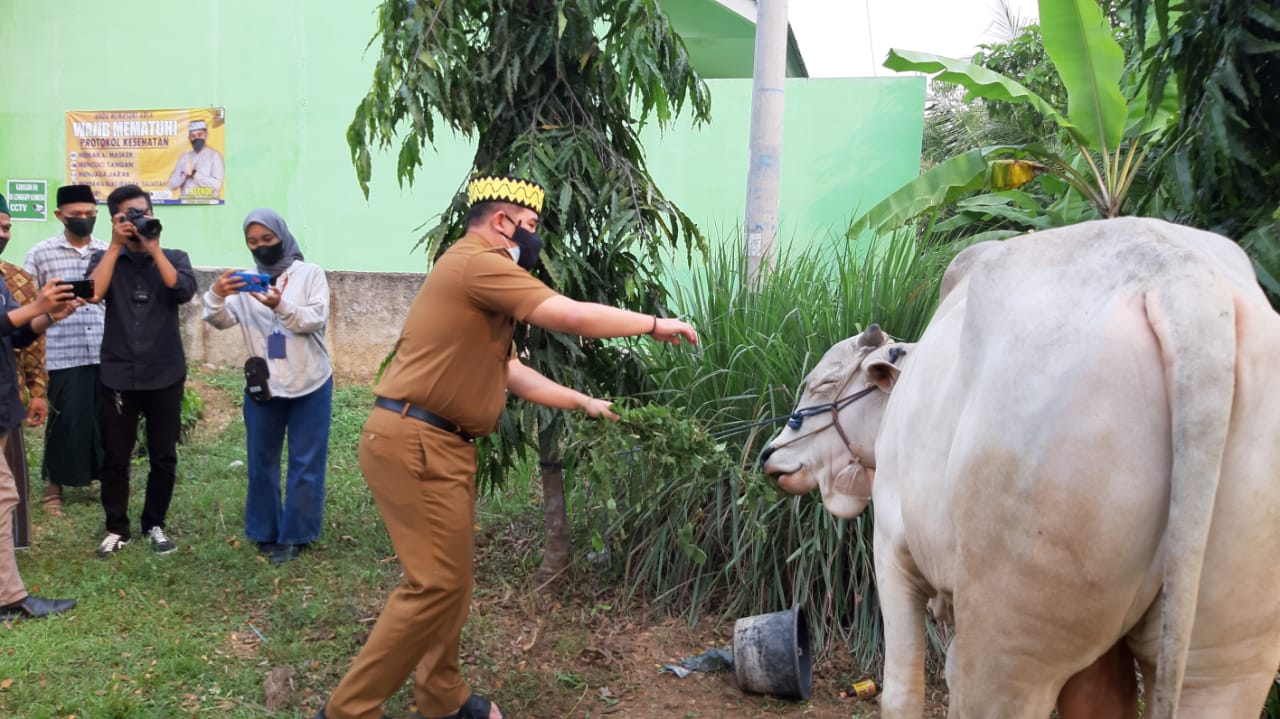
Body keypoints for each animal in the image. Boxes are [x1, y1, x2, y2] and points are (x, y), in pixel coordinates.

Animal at [757, 218, 1280, 716]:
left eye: (824, 382)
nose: (770, 454)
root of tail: (1182, 282)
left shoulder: (891, 550)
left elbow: (902, 695)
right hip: (1220, 657)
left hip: (1009, 633)